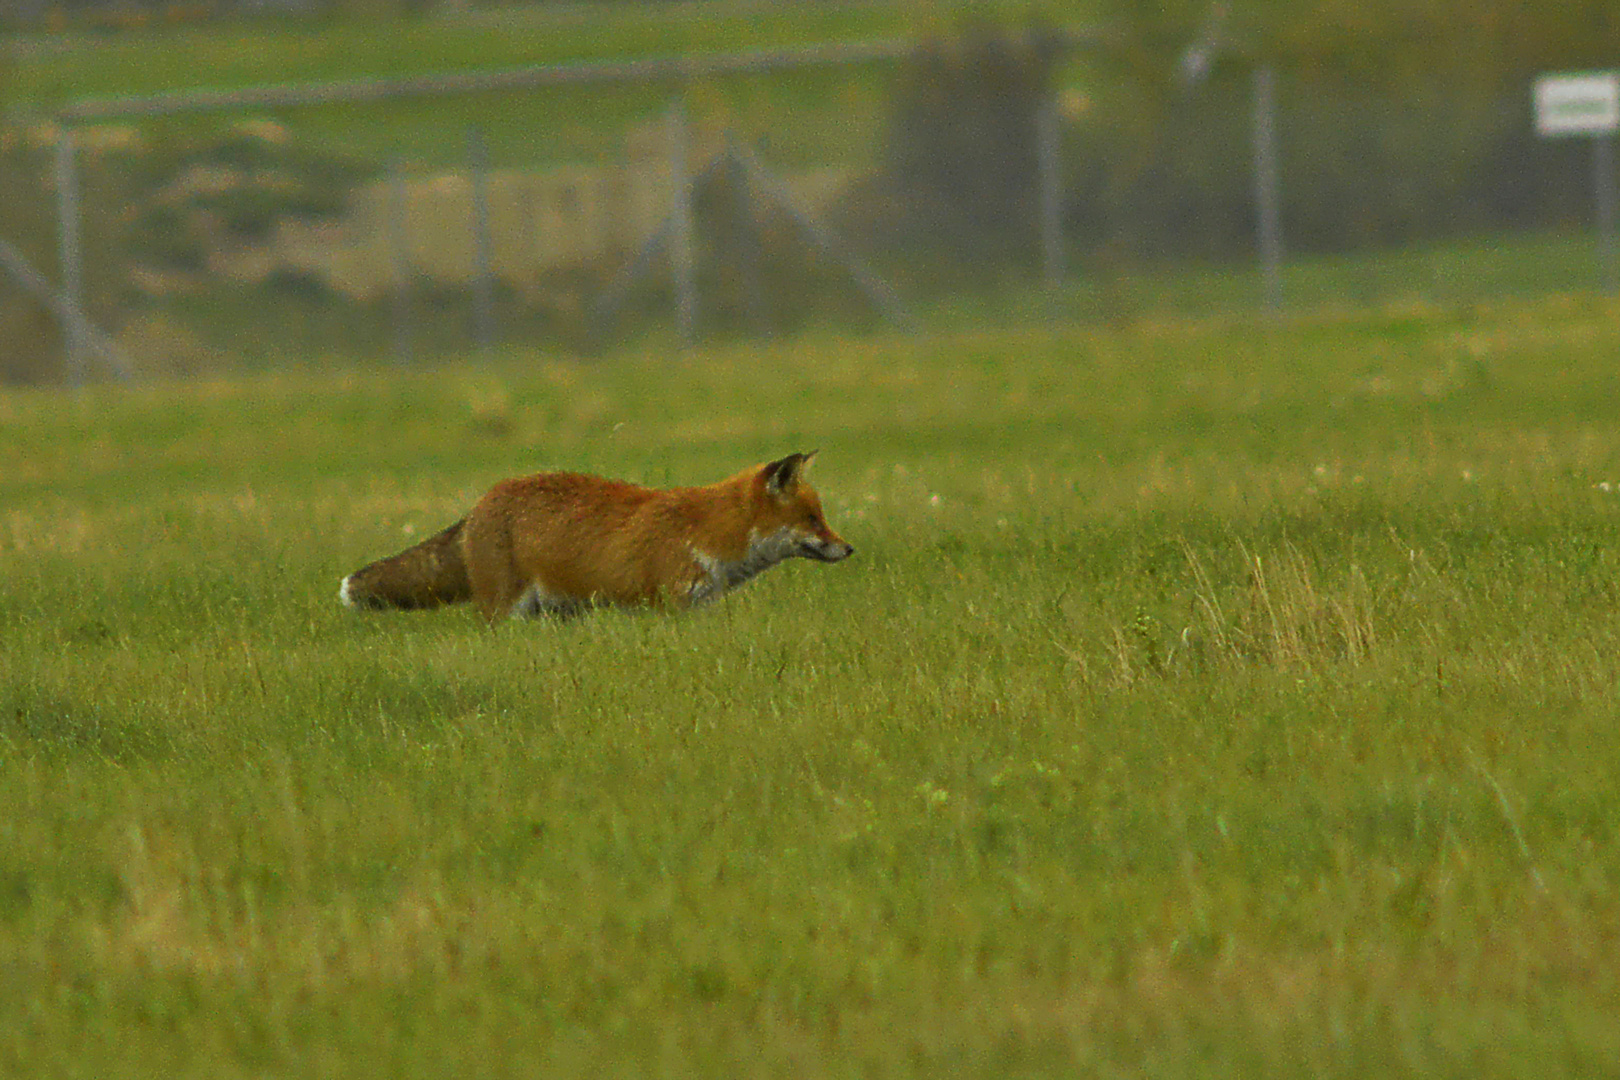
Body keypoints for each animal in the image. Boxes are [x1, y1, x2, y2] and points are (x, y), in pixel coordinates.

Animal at [336, 450, 855, 625]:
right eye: (813, 519)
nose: (849, 548)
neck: (707, 529)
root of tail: (481, 503)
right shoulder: (668, 605)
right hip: (506, 612)